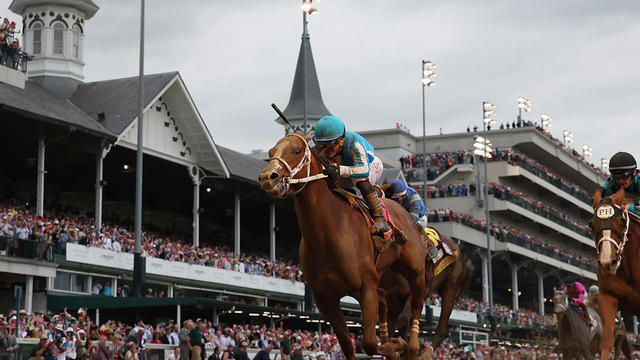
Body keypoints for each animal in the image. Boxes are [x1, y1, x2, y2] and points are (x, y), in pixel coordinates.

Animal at [258, 134, 428, 360]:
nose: (268, 178)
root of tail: (405, 212)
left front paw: (397, 344)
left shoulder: (366, 287)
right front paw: (391, 344)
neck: (328, 234)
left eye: (296, 150)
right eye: (270, 152)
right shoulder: (326, 298)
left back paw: (413, 343)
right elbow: (348, 344)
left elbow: (369, 343)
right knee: (385, 302)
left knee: (417, 304)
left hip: (414, 272)